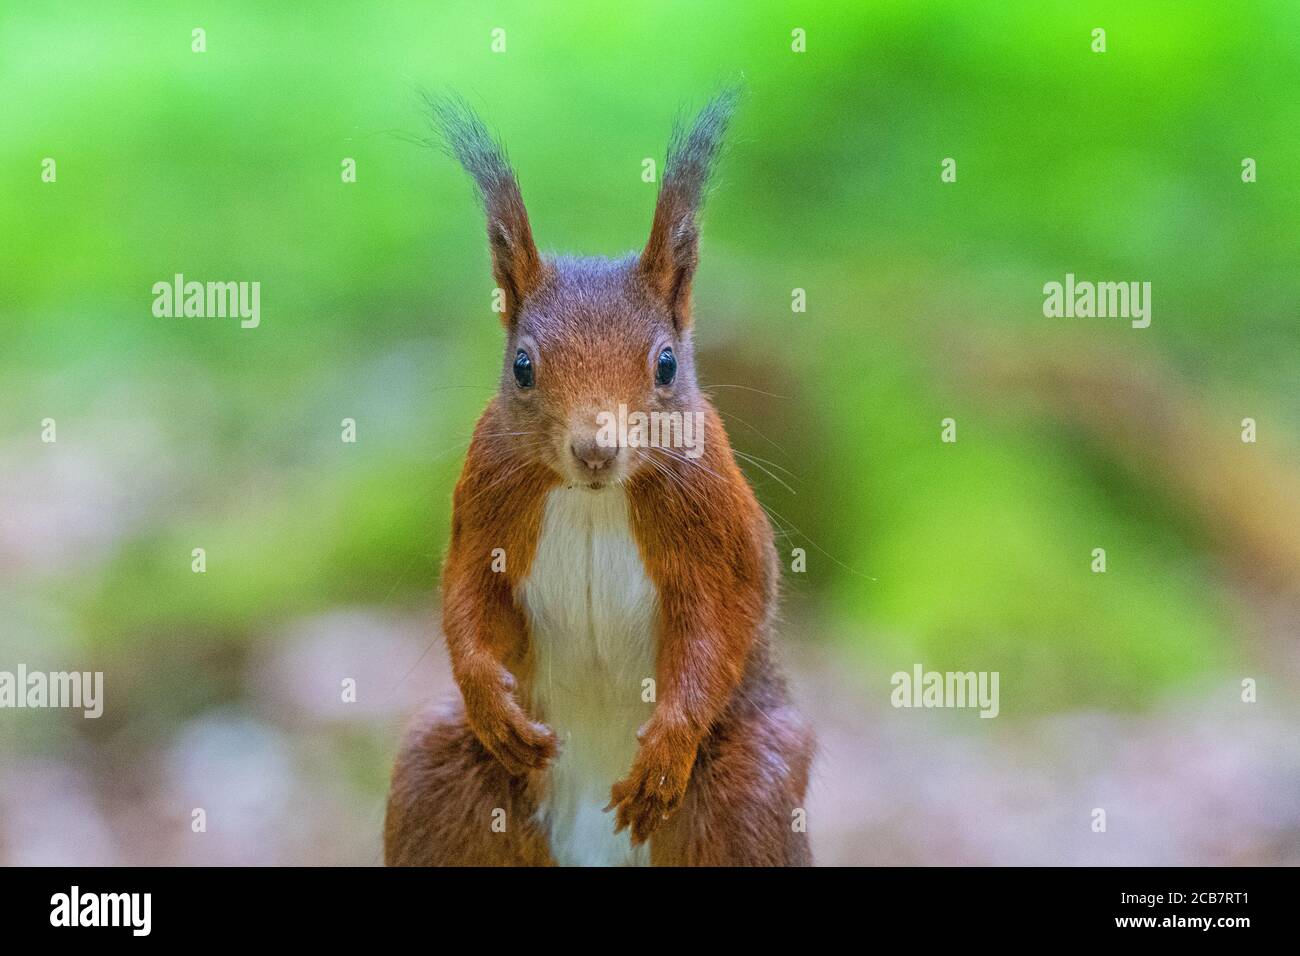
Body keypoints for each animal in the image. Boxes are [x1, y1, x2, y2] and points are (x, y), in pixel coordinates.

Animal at [382, 91, 811, 868]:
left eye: (667, 363)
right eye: (522, 365)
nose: (594, 449)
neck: (593, 498)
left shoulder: (714, 517)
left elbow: (721, 619)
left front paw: (668, 749)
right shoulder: (485, 498)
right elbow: (467, 593)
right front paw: (491, 701)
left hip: (747, 797)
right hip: (439, 776)